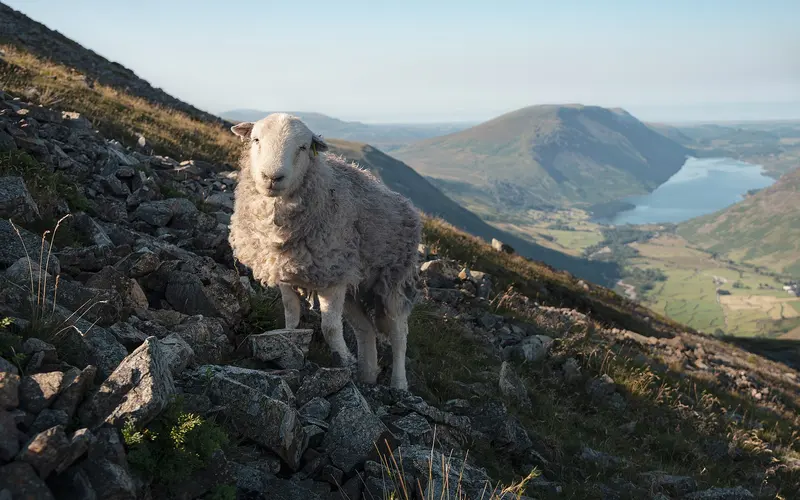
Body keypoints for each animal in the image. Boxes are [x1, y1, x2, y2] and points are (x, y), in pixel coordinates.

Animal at [228, 113, 422, 390]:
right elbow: (290, 316)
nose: (272, 177)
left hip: (392, 280)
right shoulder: (286, 271)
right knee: (365, 329)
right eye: (256, 139)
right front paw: (290, 343)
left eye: (303, 147)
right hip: (353, 284)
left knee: (398, 334)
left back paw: (398, 385)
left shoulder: (332, 278)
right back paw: (367, 375)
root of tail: (407, 205)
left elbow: (329, 328)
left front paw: (343, 361)